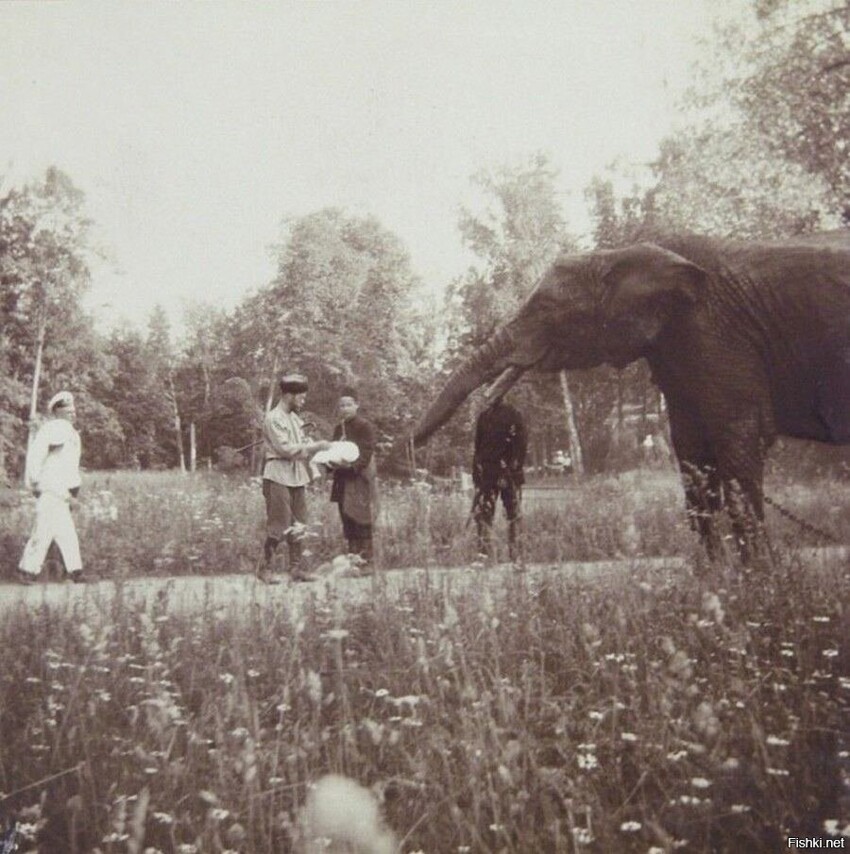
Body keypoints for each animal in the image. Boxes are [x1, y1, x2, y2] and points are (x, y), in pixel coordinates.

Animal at [410, 231, 848, 564]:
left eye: (546, 308)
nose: (414, 449)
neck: (621, 254)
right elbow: (693, 455)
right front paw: (717, 581)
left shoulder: (717, 336)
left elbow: (737, 442)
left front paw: (762, 583)